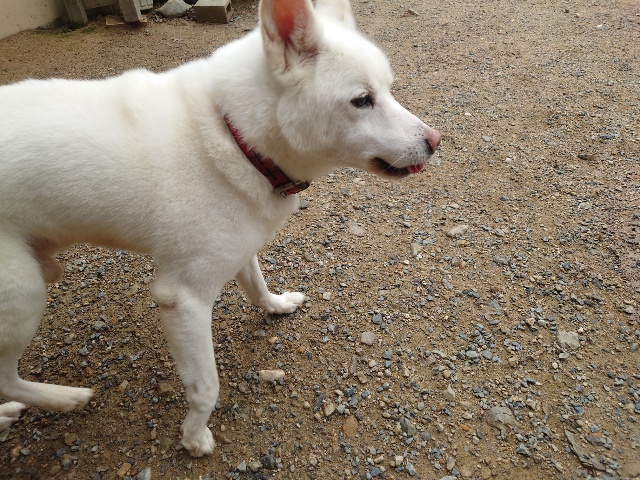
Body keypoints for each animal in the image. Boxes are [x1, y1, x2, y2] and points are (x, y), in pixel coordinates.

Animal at [0, 0, 440, 456]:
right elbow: (206, 387)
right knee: (6, 377)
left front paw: (276, 305)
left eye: (388, 89)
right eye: (362, 100)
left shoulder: (239, 245)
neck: (235, 135)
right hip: (21, 293)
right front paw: (194, 436)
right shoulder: (183, 299)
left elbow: (257, 284)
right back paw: (64, 398)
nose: (435, 140)